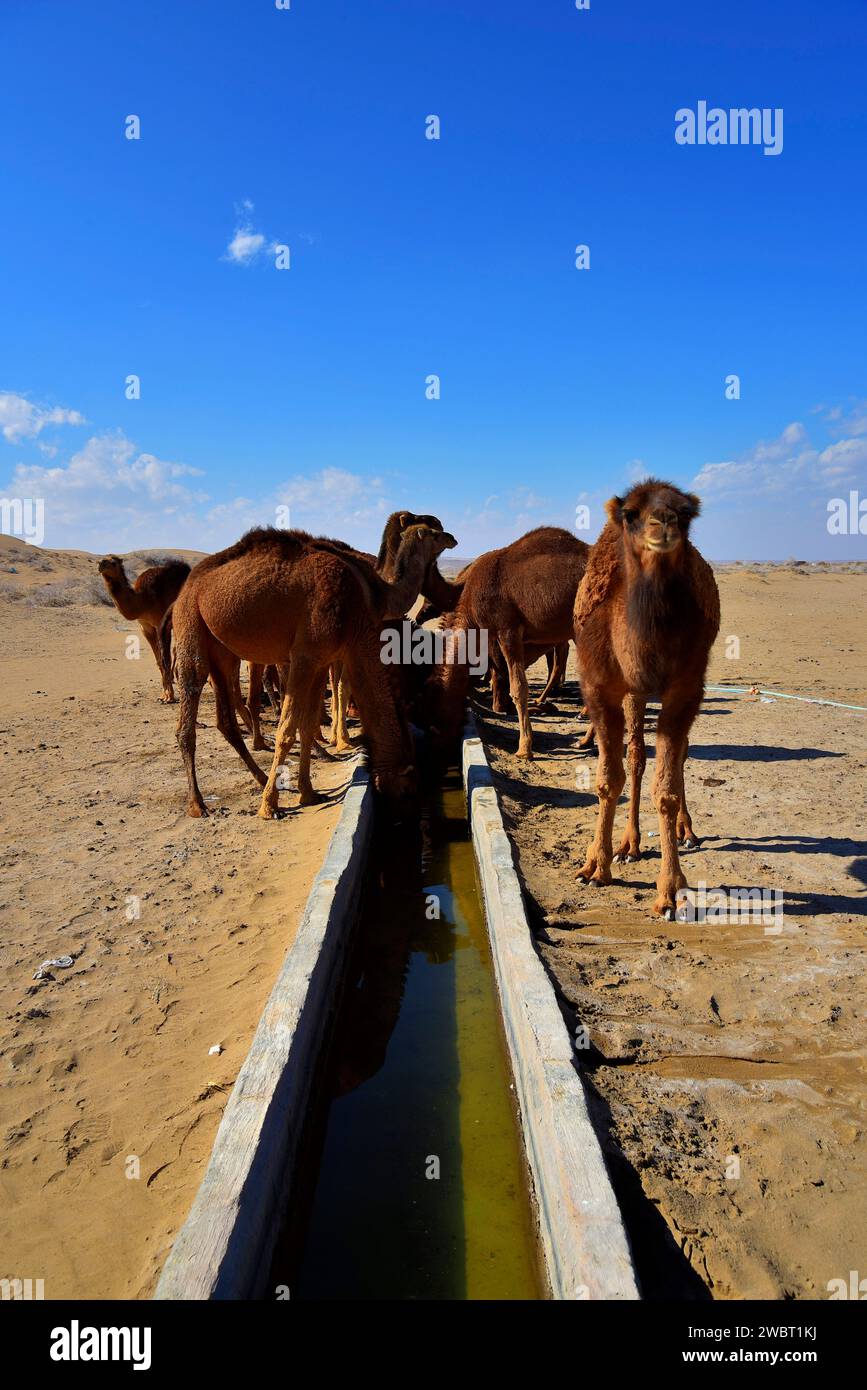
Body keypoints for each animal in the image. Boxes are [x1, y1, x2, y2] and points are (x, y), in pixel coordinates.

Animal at [100, 553, 191, 700]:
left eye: (113, 563)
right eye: (103, 559)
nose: (100, 564)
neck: (143, 600)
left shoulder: (160, 624)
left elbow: (165, 659)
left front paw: (169, 696)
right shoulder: (145, 627)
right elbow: (159, 660)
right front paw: (164, 694)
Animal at [167, 525, 452, 817]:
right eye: (409, 788)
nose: (451, 538)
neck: (358, 609)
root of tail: (188, 585)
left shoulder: (321, 659)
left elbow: (306, 724)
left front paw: (308, 792)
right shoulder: (305, 655)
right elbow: (286, 729)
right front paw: (269, 806)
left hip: (222, 651)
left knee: (226, 721)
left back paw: (260, 777)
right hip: (190, 621)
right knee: (189, 709)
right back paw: (198, 804)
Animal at [422, 522, 586, 761]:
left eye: (433, 716)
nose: (434, 750)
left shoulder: (507, 629)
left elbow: (517, 687)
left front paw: (524, 749)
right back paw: (583, 739)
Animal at [572, 483, 722, 917]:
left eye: (686, 513)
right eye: (631, 514)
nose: (664, 522)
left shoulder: (687, 687)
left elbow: (666, 789)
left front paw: (670, 891)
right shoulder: (600, 685)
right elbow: (609, 780)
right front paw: (595, 866)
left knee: (678, 753)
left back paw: (686, 831)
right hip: (633, 694)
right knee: (637, 755)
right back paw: (628, 844)